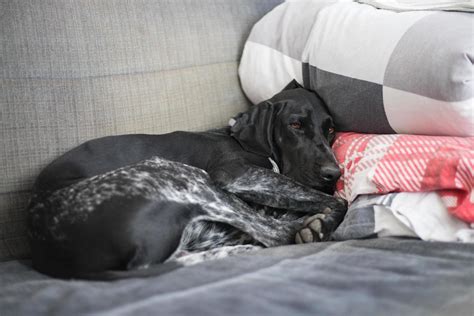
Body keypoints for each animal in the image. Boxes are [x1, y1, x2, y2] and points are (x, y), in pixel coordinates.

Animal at [27, 80, 346, 280]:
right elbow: (336, 202)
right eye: (295, 125)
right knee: (274, 234)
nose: (334, 173)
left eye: (330, 130)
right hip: (179, 175)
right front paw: (319, 224)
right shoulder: (235, 175)